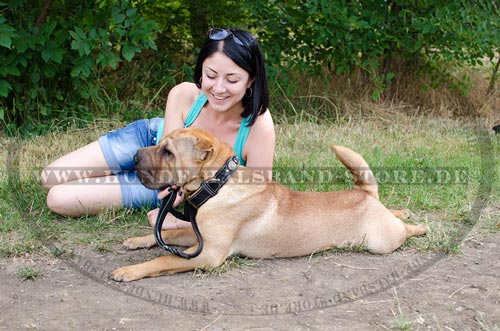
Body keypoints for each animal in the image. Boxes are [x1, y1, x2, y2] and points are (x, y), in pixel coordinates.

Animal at [111, 127, 428, 282]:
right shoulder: (199, 235)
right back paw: (404, 212)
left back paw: (420, 227)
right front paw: (138, 241)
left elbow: (165, 259)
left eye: (168, 152)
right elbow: (170, 233)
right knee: (393, 212)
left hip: (381, 241)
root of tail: (365, 194)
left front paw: (129, 271)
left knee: (403, 231)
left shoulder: (209, 253)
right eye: (159, 144)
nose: (135, 156)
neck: (217, 184)